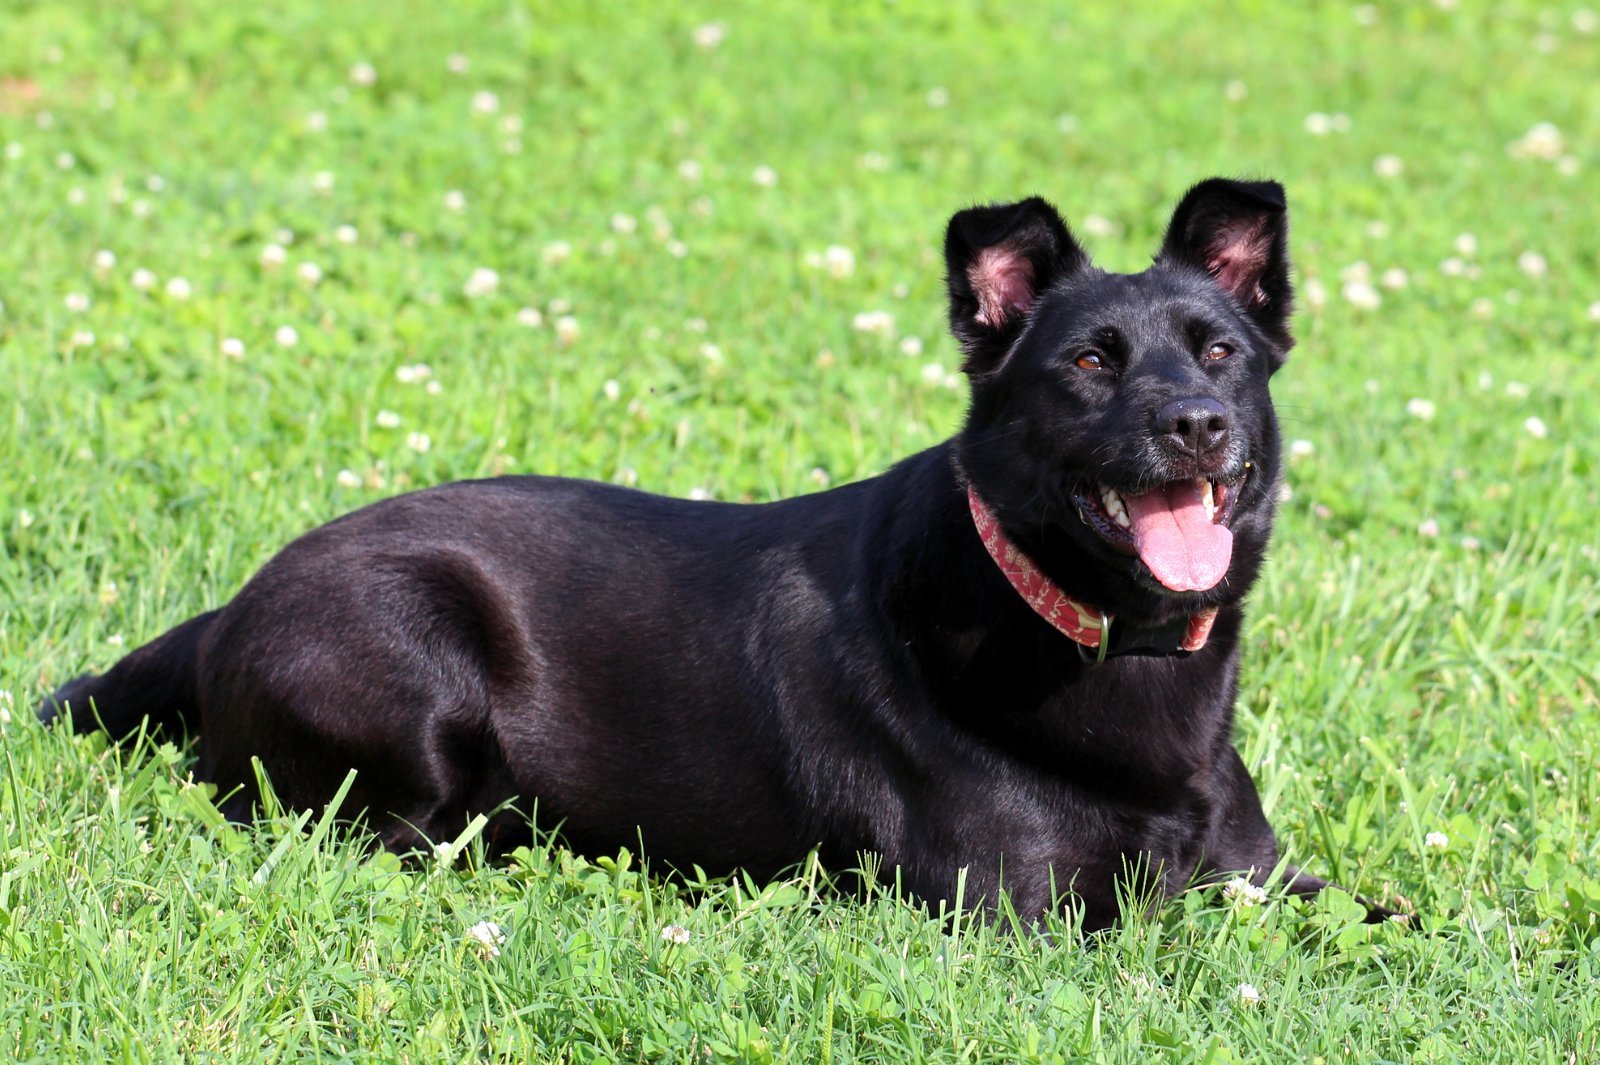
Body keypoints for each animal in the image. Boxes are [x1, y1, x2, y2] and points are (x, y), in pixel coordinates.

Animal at [43, 178, 1395, 927]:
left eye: (1218, 351)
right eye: (1088, 362)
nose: (1198, 424)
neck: (1106, 641)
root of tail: (230, 609)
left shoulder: (1265, 878)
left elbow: (1407, 918)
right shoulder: (1024, 911)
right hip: (409, 659)